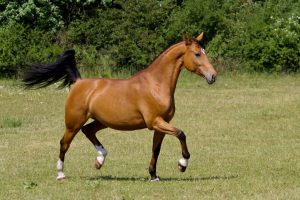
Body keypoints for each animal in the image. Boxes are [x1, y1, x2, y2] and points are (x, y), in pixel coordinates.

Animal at [22, 32, 216, 181]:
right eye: (197, 54)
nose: (213, 76)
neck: (156, 84)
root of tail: (78, 82)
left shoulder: (161, 124)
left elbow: (156, 149)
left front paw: (153, 175)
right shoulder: (155, 122)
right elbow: (181, 134)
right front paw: (182, 165)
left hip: (101, 121)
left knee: (88, 131)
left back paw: (100, 160)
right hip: (73, 123)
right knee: (64, 143)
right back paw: (61, 173)